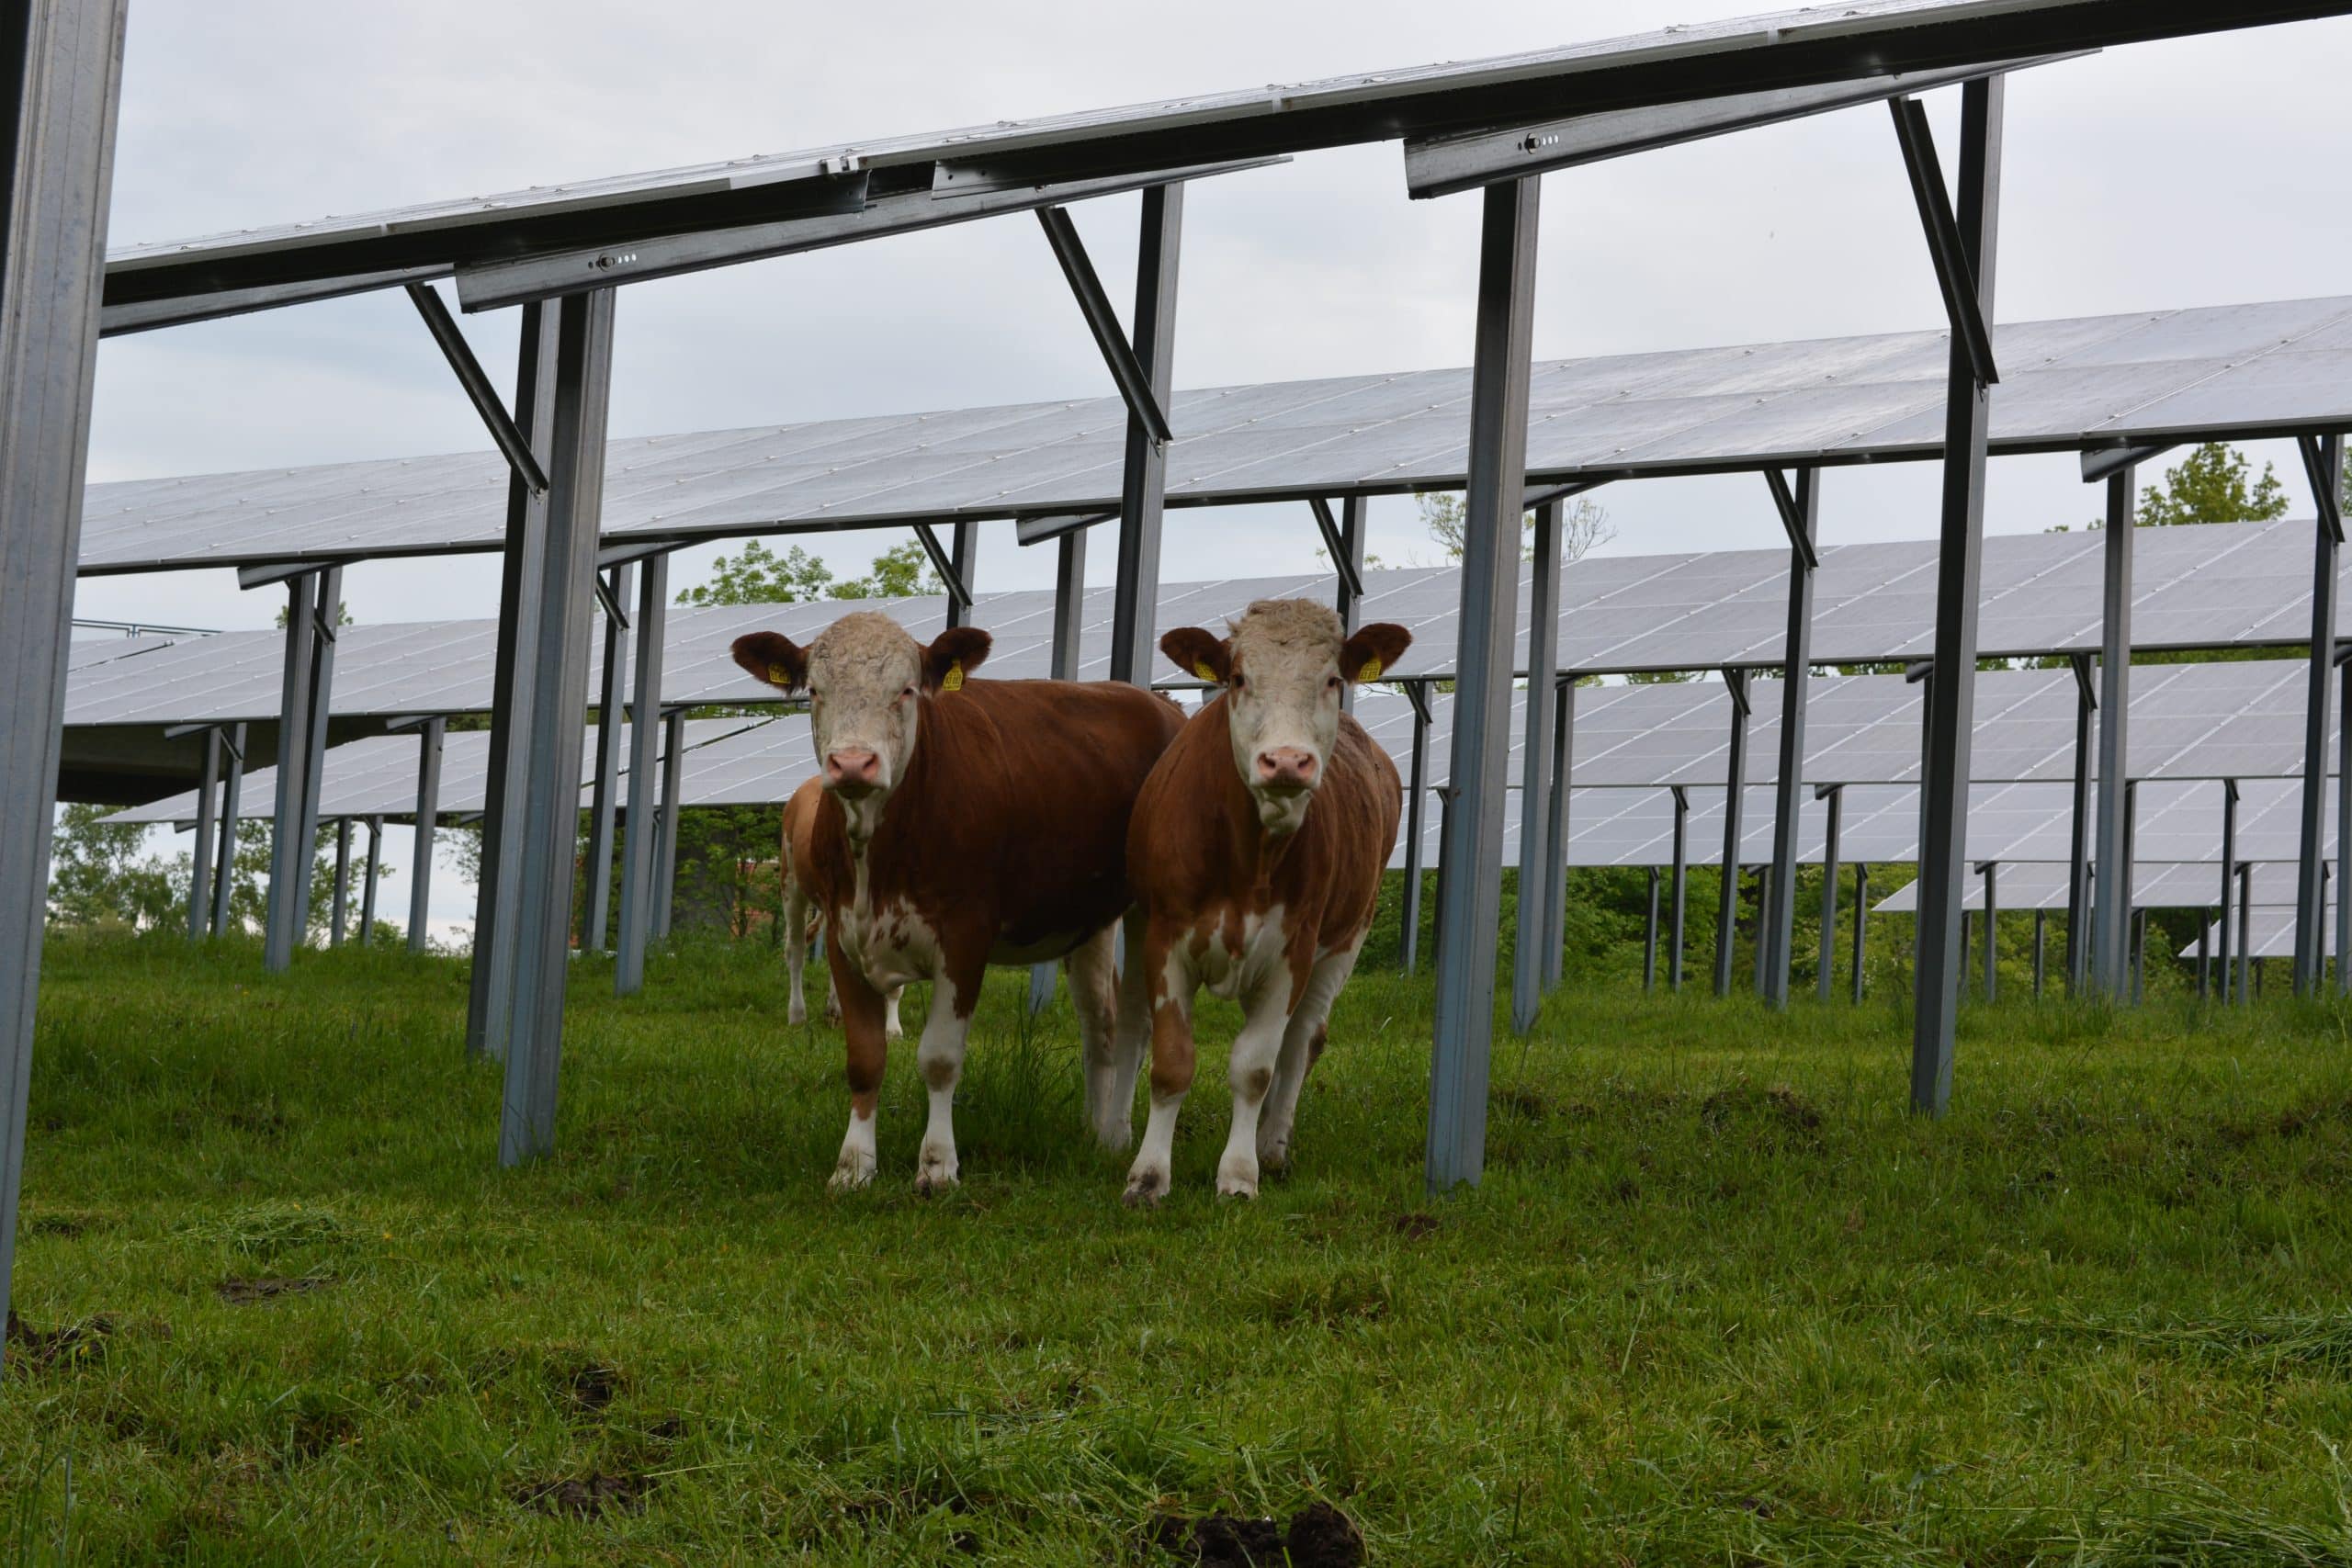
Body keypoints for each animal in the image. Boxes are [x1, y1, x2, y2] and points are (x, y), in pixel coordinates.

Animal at [1119, 598, 1410, 1205]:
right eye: (1238, 678)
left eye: (1332, 679)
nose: (1287, 761)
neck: (1248, 857)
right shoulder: (1164, 939)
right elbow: (1172, 1062)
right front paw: (1149, 1175)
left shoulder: (1293, 951)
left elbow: (1255, 1066)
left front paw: (1238, 1173)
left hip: (1347, 938)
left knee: (1300, 1041)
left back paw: (1271, 1145)